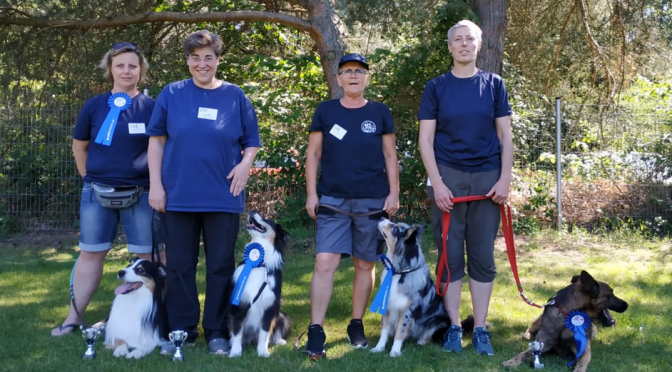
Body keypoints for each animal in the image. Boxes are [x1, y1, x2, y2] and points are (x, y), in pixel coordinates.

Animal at [504, 270, 632, 372]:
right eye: (611, 294)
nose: (627, 305)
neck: (568, 316)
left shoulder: (584, 352)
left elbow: (581, 364)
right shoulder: (543, 345)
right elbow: (521, 354)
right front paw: (511, 362)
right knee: (531, 326)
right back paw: (526, 335)